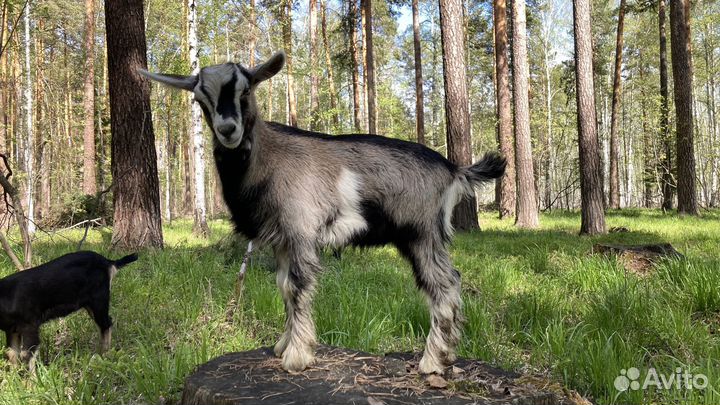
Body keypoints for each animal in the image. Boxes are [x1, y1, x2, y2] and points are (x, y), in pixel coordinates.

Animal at [0, 251, 138, 370]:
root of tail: (109, 262)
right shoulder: (12, 330)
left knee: (106, 324)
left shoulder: (30, 325)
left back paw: (104, 355)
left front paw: (32, 383)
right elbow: (11, 353)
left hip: (99, 299)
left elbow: (26, 354)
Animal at [140, 52, 506, 374]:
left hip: (421, 234)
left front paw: (298, 356)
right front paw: (284, 344)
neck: (268, 161)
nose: (228, 129)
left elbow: (299, 286)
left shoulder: (301, 230)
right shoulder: (282, 239)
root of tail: (454, 170)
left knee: (444, 284)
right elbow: (283, 286)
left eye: (246, 90)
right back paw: (446, 355)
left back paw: (433, 361)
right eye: (201, 98)